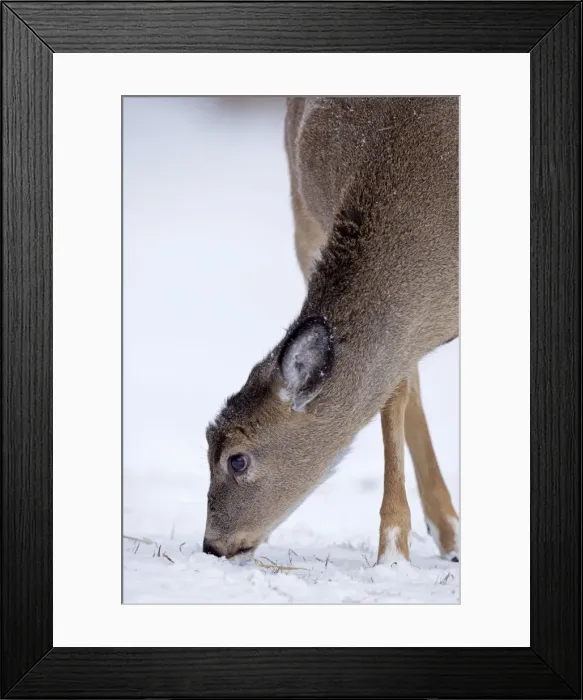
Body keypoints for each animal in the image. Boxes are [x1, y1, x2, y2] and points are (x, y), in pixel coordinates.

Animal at [203, 97, 459, 566]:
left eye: (236, 460)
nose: (211, 545)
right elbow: (394, 396)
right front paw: (393, 553)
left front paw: (392, 553)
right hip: (303, 221)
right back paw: (450, 534)